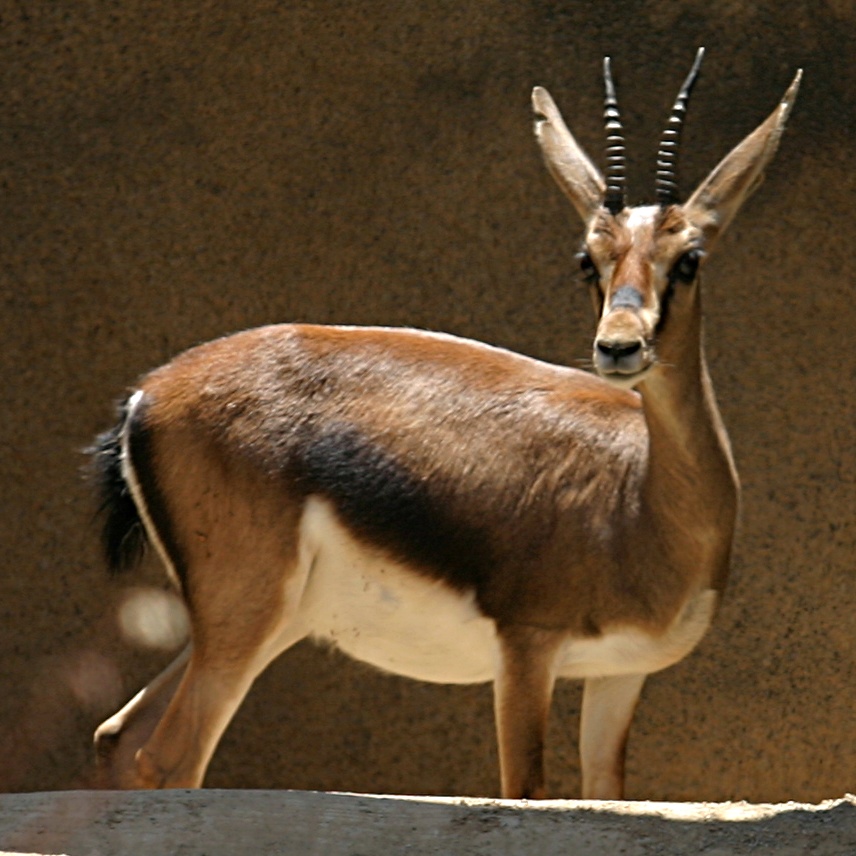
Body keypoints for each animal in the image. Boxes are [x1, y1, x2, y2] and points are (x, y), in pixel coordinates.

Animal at [90, 50, 800, 799]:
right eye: (588, 259)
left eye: (689, 257)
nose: (619, 347)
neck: (639, 499)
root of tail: (145, 396)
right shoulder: (526, 648)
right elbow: (525, 792)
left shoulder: (619, 674)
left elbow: (603, 795)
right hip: (245, 617)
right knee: (166, 758)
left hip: (259, 623)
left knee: (119, 737)